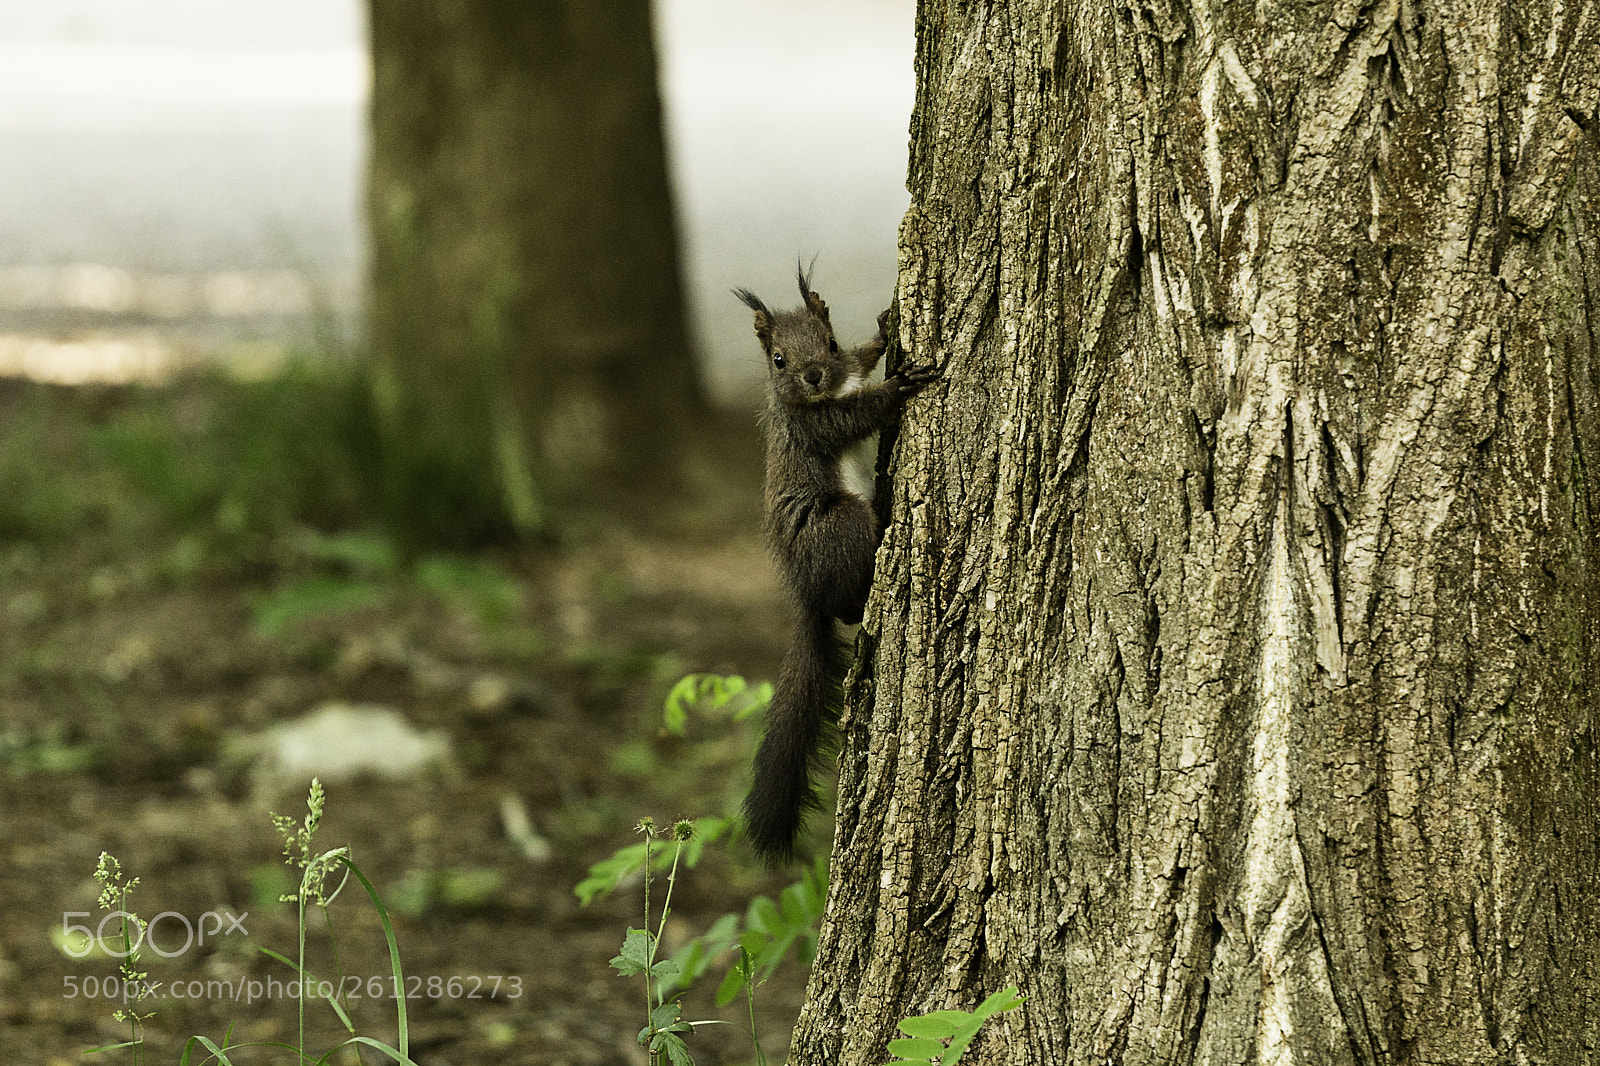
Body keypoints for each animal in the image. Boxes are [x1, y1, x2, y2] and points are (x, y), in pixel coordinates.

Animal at [733, 265, 938, 865]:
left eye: (828, 342)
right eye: (778, 359)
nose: (815, 375)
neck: (822, 394)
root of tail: (807, 596)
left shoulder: (844, 374)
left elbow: (862, 362)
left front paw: (883, 333)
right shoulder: (815, 425)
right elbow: (854, 416)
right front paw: (898, 386)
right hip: (841, 524)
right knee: (848, 605)